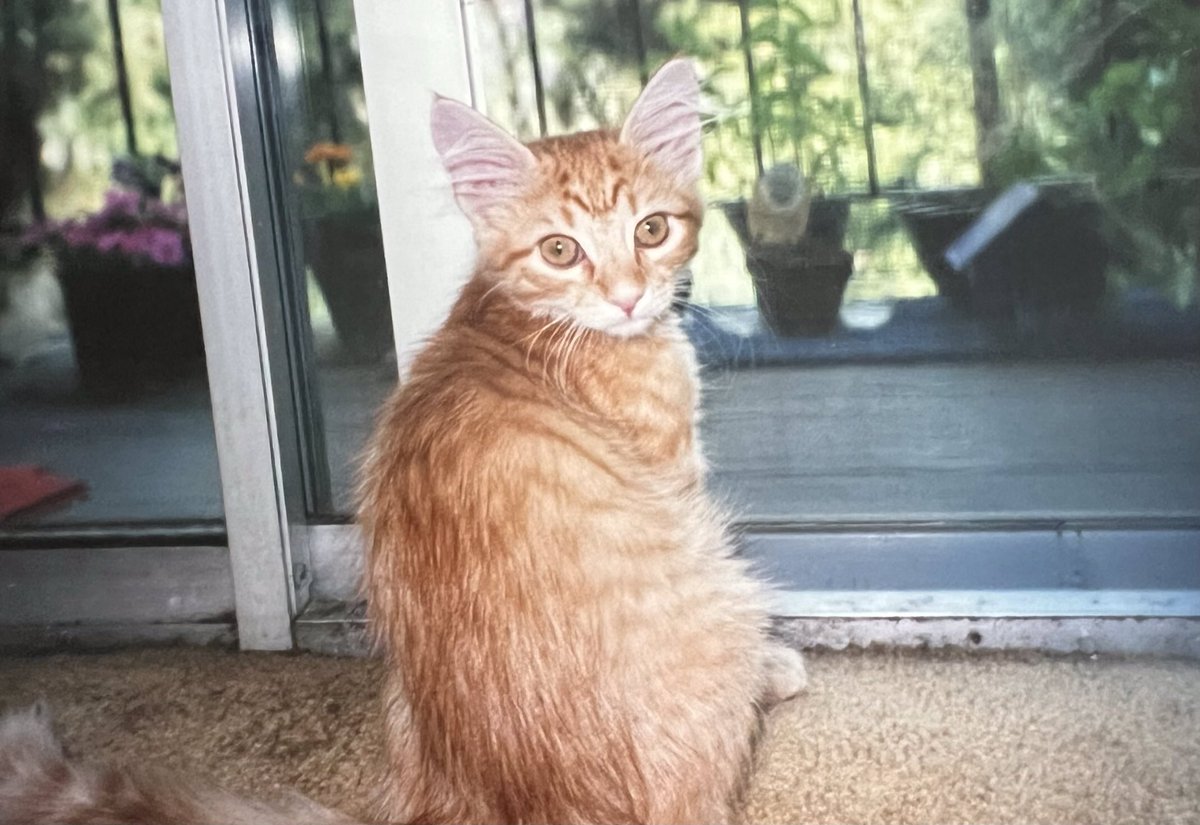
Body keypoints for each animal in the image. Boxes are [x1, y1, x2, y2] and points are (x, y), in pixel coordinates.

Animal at [2, 58, 806, 825]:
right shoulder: (676, 476)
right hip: (718, 577)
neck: (531, 321)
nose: (629, 297)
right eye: (560, 249)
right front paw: (773, 666)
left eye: (651, 230)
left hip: (399, 698)